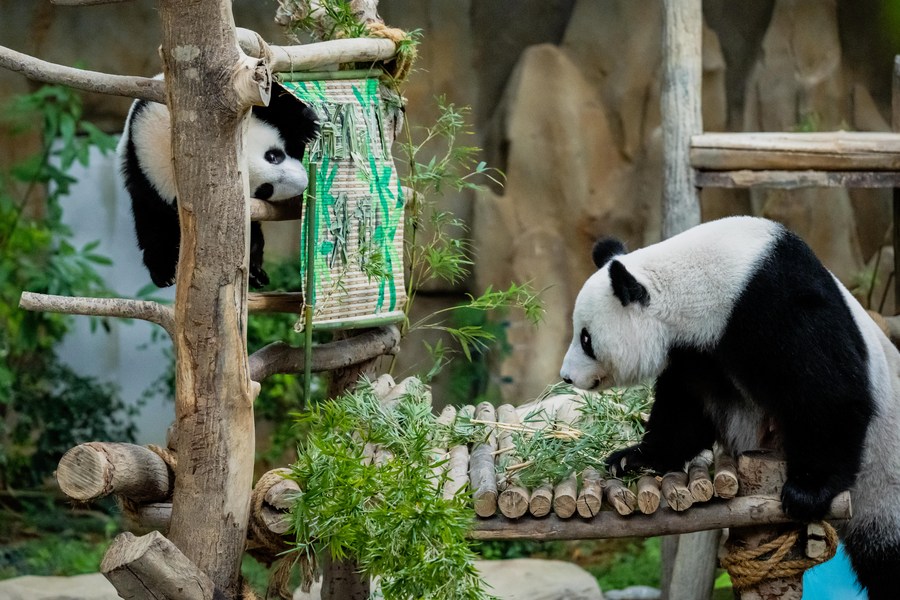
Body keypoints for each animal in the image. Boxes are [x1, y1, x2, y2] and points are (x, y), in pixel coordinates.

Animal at [118, 85, 318, 290]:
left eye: (273, 156)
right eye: (264, 189)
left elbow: (276, 101)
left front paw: (309, 126)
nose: (302, 182)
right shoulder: (147, 182)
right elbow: (157, 221)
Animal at [560, 214, 900, 596]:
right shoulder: (698, 351)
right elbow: (684, 409)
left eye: (586, 339)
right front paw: (632, 457)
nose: (566, 376)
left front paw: (807, 491)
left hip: (883, 481)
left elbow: (829, 392)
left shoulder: (774, 302)